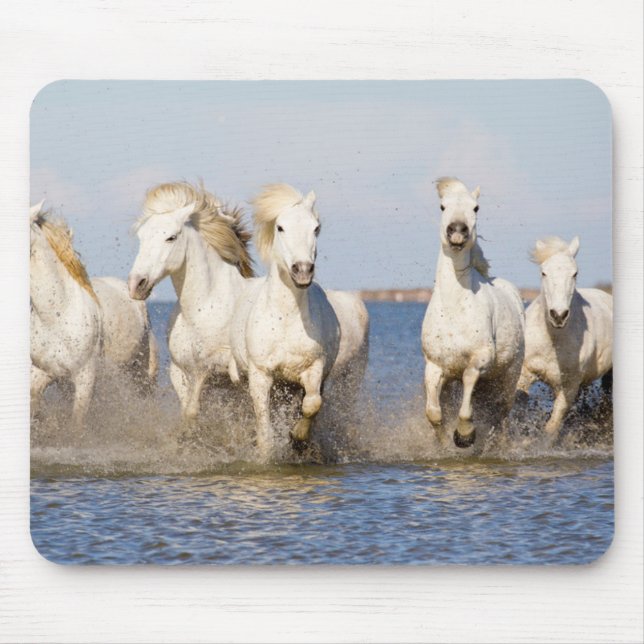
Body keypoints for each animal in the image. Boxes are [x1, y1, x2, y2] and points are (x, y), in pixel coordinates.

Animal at [128, 181, 254, 425]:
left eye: (171, 237)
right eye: (141, 237)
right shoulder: (178, 370)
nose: (136, 284)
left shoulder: (224, 366)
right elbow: (189, 410)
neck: (203, 308)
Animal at [229, 184, 369, 462]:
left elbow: (312, 404)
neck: (285, 320)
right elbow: (264, 426)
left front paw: (297, 438)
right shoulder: (261, 375)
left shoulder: (313, 368)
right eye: (280, 227)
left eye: (316, 227)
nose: (302, 270)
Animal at [421, 178, 525, 448]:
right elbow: (433, 412)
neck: (454, 309)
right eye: (442, 206)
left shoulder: (480, 359)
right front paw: (445, 441)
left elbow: (468, 392)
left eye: (476, 207)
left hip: (508, 377)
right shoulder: (435, 365)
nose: (458, 229)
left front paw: (465, 434)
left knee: (501, 412)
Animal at [517, 236, 613, 438]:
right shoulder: (525, 373)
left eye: (575, 273)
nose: (558, 315)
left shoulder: (569, 386)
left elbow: (552, 426)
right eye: (544, 272)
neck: (553, 340)